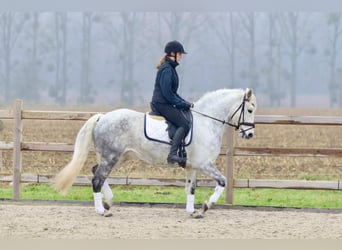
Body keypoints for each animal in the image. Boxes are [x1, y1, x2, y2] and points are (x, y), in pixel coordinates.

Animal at [54, 88, 256, 217]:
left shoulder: (192, 166)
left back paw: (107, 202)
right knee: (97, 179)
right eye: (249, 109)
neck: (206, 122)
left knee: (97, 173)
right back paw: (101, 210)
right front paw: (207, 206)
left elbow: (190, 188)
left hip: (117, 157)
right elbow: (222, 181)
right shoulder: (204, 164)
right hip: (111, 157)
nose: (250, 134)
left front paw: (193, 211)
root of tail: (103, 117)